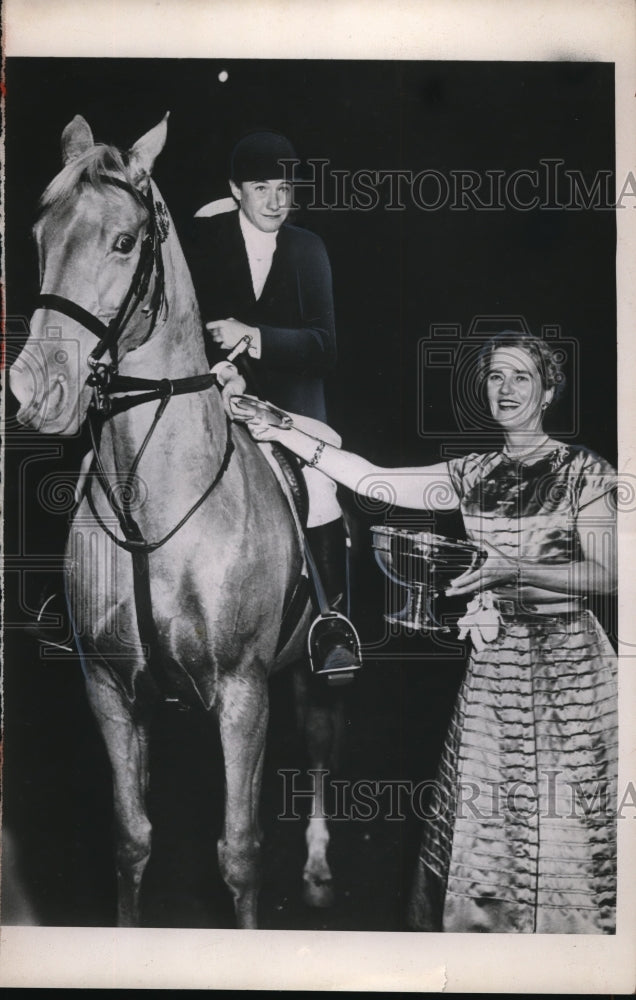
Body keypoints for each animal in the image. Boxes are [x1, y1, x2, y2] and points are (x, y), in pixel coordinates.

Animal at [7, 111, 342, 928]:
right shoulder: (109, 690)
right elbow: (131, 839)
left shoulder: (244, 691)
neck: (150, 506)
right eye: (39, 235)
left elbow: (241, 853)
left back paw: (319, 870)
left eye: (125, 242)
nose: (36, 393)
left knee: (321, 745)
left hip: (313, 671)